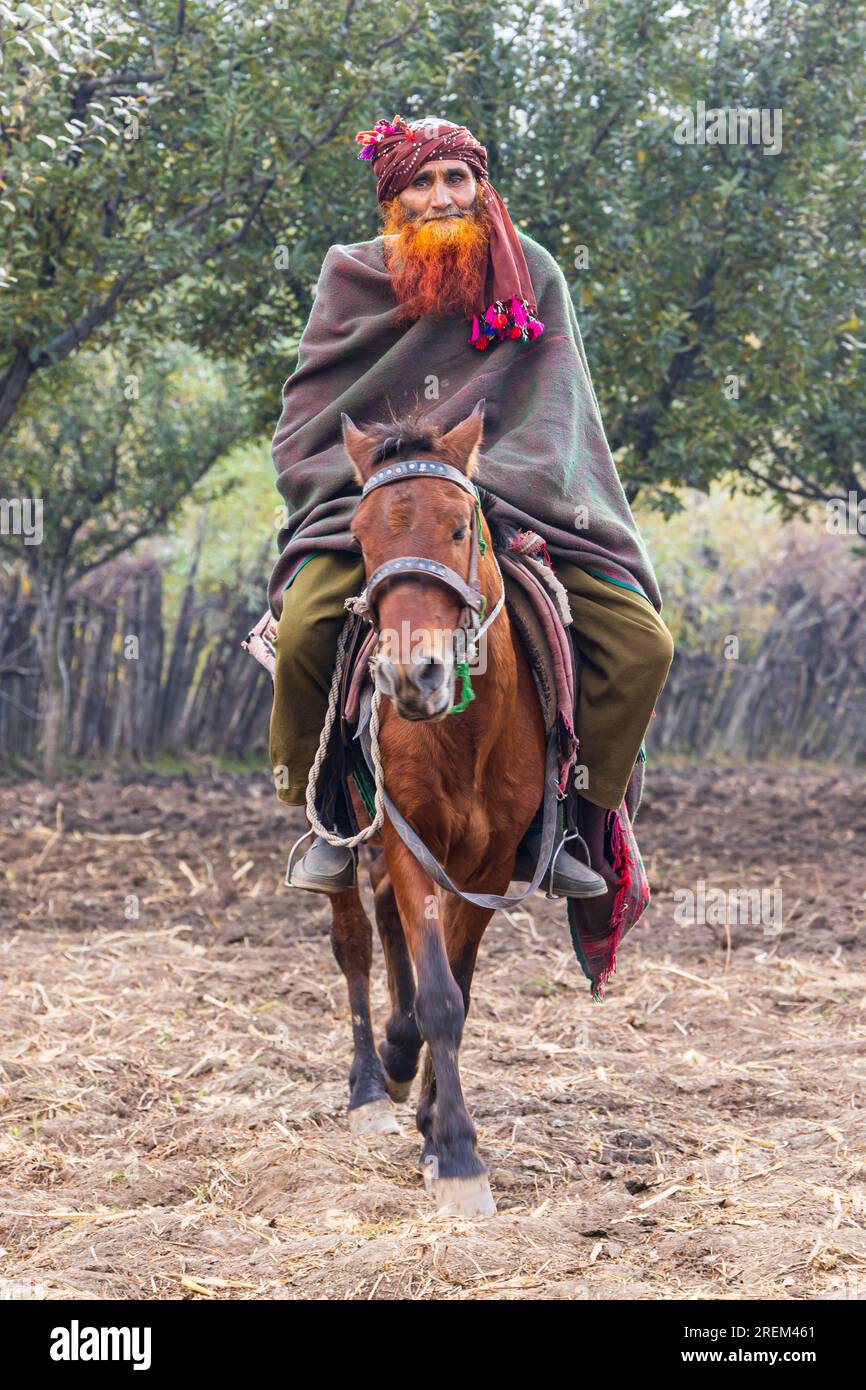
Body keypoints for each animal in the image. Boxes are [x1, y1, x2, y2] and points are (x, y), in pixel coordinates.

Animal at [328, 397, 544, 1212]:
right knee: (355, 937)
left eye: (458, 526)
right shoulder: (409, 840)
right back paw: (368, 1083)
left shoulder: (487, 869)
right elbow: (440, 999)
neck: (467, 735)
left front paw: (431, 1128)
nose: (410, 676)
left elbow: (455, 987)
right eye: (359, 538)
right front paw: (456, 1157)